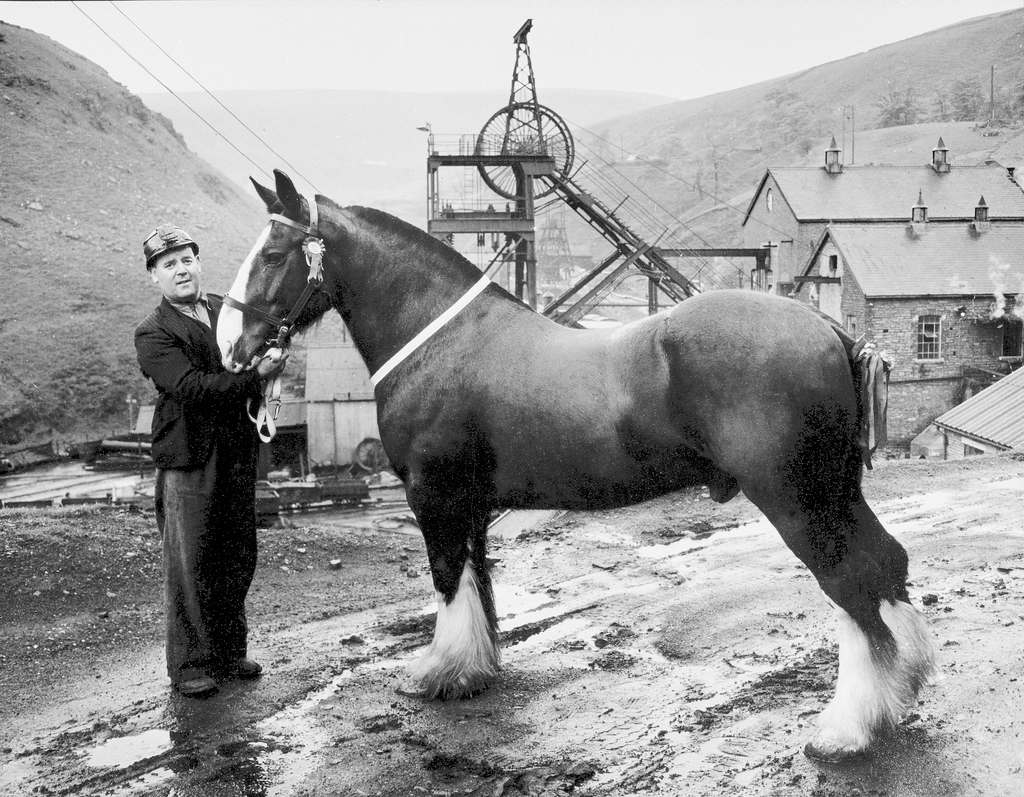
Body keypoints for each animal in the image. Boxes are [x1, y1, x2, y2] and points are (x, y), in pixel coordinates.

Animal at [217, 170, 935, 762]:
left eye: (274, 255)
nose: (230, 346)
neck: (441, 341)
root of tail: (829, 329)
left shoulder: (434, 497)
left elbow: (448, 581)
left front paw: (438, 673)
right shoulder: (470, 504)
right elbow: (477, 583)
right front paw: (475, 669)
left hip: (797, 501)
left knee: (850, 584)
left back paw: (846, 729)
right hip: (836, 492)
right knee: (883, 565)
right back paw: (899, 693)